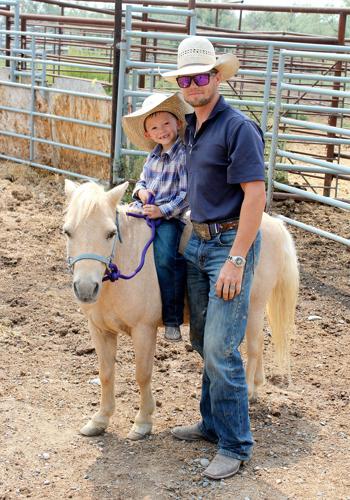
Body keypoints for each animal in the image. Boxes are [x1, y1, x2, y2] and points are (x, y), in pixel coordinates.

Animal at [63, 180, 298, 442]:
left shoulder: (144, 330)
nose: (86, 288)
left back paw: (248, 392)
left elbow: (142, 374)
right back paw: (256, 387)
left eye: (110, 233)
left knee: (255, 348)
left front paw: (143, 422)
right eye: (68, 232)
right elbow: (105, 373)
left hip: (254, 306)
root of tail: (274, 225)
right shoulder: (100, 330)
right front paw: (100, 420)